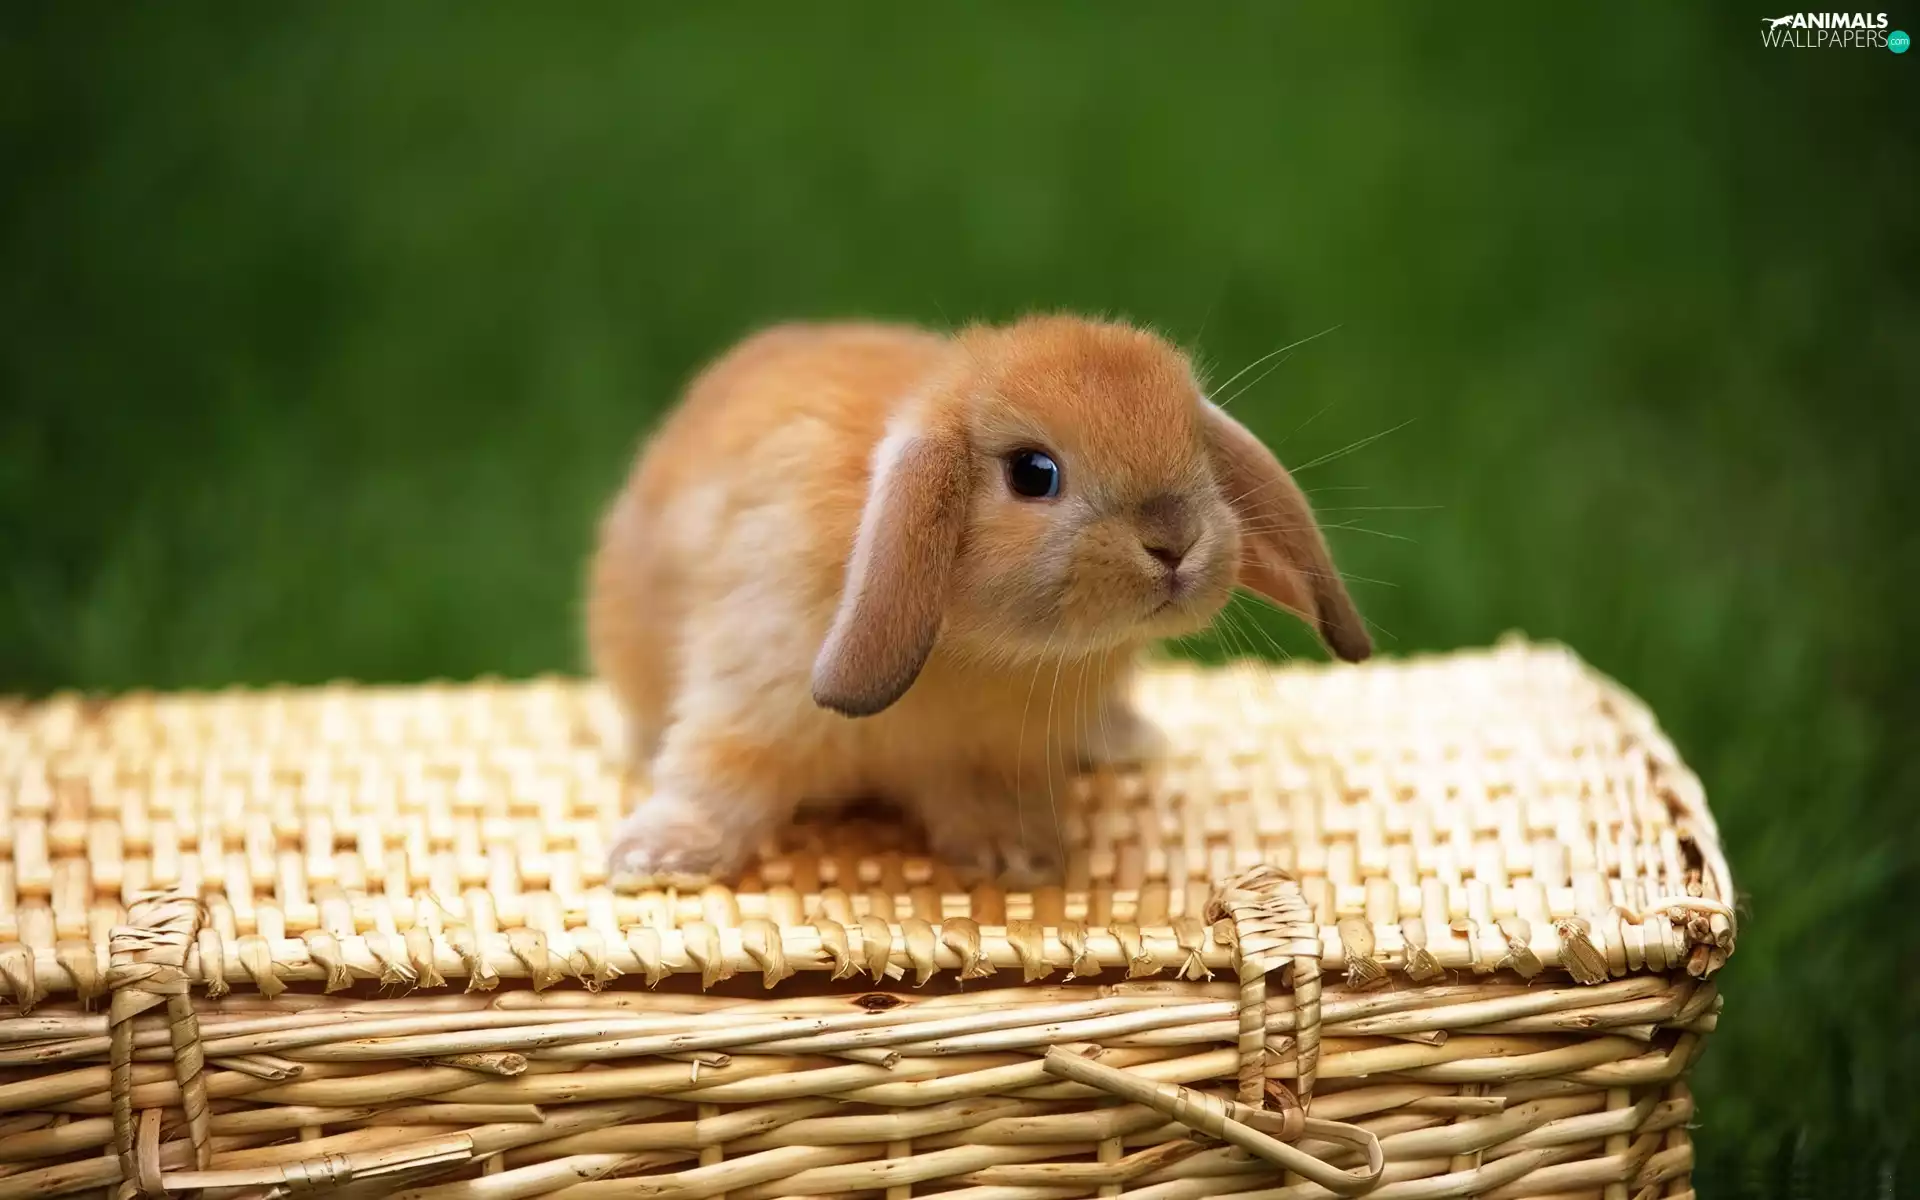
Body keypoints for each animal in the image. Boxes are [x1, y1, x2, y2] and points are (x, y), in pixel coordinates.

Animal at [587, 315, 1370, 888]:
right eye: (1033, 473)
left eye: (1198, 453)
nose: (1174, 542)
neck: (980, 647)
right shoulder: (750, 697)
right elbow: (714, 778)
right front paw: (656, 860)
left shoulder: (997, 756)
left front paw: (1017, 862)